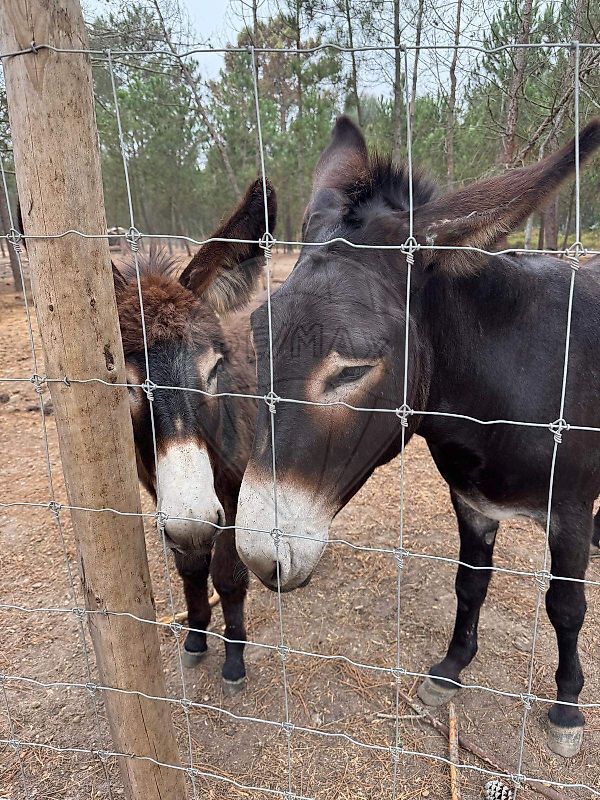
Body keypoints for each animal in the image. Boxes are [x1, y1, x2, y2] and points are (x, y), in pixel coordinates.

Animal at [112, 179, 276, 692]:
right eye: (126, 384)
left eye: (213, 370)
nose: (193, 520)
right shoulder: (159, 493)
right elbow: (190, 566)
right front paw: (196, 638)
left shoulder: (233, 486)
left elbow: (227, 576)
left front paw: (235, 657)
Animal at [235, 116, 600, 754]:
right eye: (258, 339)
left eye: (352, 369)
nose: (259, 559)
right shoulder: (471, 499)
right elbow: (470, 584)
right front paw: (450, 672)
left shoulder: (571, 510)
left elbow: (566, 605)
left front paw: (566, 710)